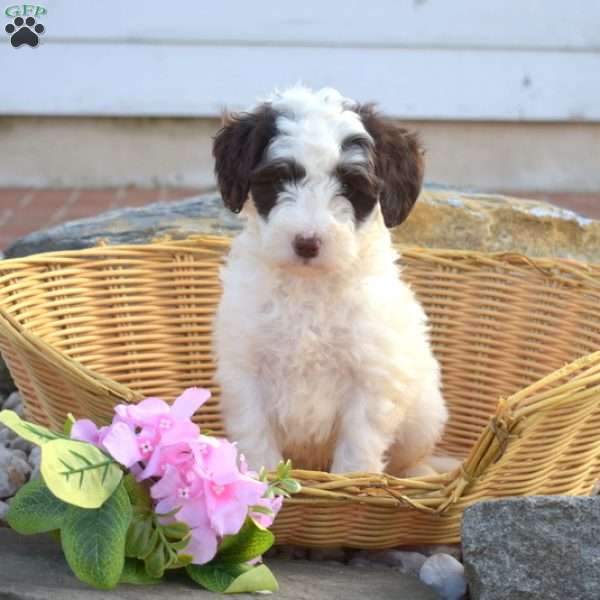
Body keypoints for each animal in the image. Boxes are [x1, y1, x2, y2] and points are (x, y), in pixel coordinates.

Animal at [213, 86, 448, 476]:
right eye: (279, 179)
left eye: (350, 186)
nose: (307, 243)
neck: (309, 287)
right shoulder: (246, 370)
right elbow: (256, 440)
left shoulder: (372, 377)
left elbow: (357, 451)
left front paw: (354, 483)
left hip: (424, 414)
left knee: (412, 455)